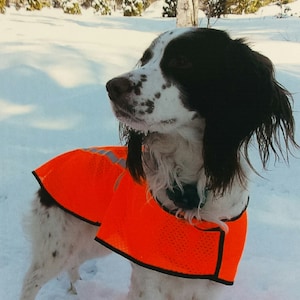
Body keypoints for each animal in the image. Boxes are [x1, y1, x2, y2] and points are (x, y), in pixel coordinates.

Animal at [20, 28, 298, 300]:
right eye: (145, 59)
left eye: (182, 61)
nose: (112, 86)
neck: (192, 193)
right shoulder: (149, 280)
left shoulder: (207, 286)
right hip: (58, 244)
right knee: (31, 281)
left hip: (87, 242)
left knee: (73, 266)